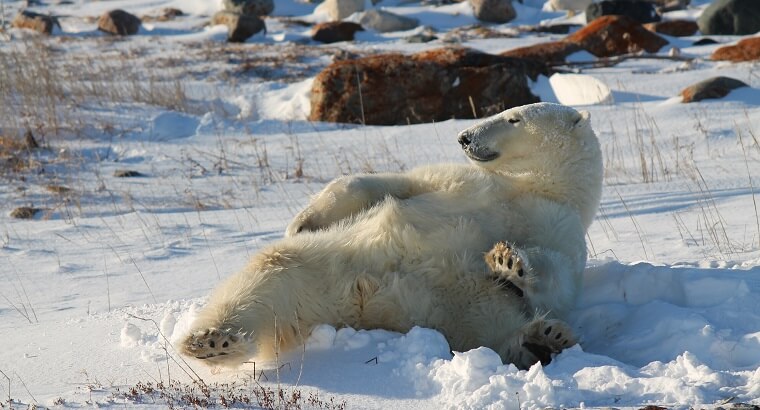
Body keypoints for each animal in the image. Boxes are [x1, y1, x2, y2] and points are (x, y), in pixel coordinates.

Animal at [181, 101, 604, 368]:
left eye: (514, 118)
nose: (464, 136)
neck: (534, 186)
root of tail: (366, 309)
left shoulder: (561, 225)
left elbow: (557, 277)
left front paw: (507, 260)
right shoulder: (458, 180)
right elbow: (384, 182)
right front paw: (302, 222)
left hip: (463, 311)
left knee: (498, 334)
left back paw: (543, 339)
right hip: (322, 269)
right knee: (268, 276)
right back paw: (211, 340)